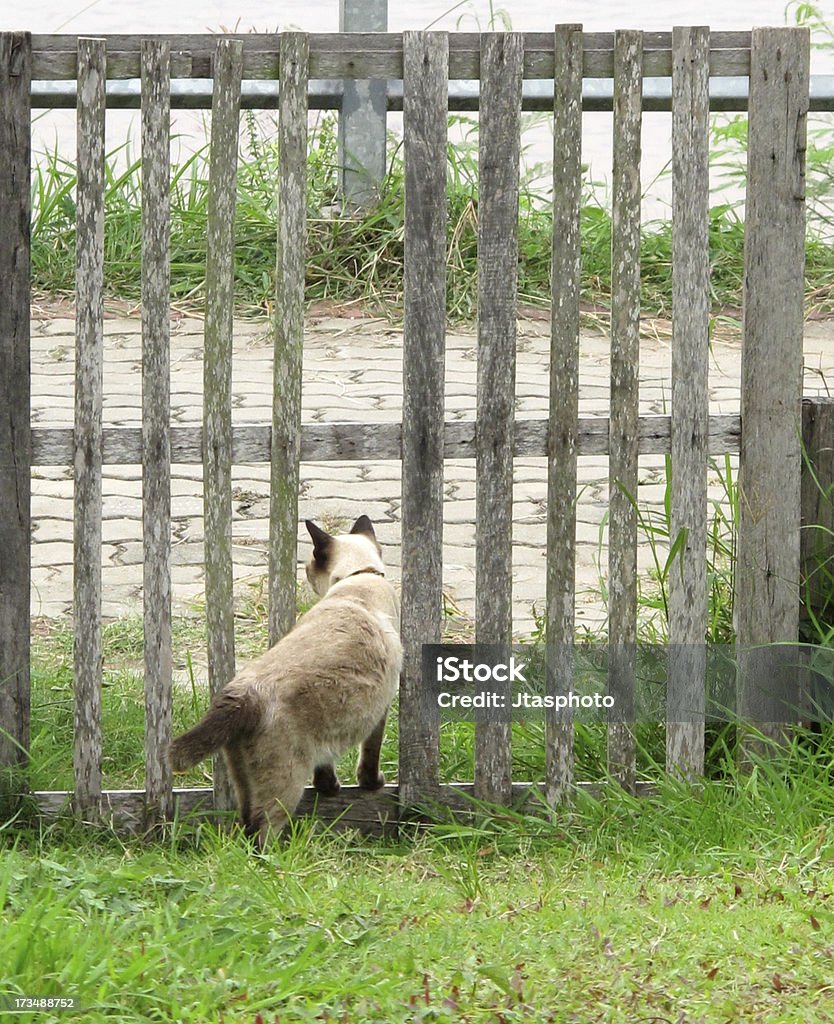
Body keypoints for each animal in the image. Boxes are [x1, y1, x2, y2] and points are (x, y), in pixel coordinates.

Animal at [169, 516, 401, 843]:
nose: (305, 572)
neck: (359, 578)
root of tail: (241, 696)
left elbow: (325, 768)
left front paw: (330, 789)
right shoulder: (380, 710)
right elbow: (370, 756)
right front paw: (372, 784)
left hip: (243, 779)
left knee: (246, 825)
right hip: (285, 782)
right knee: (263, 829)